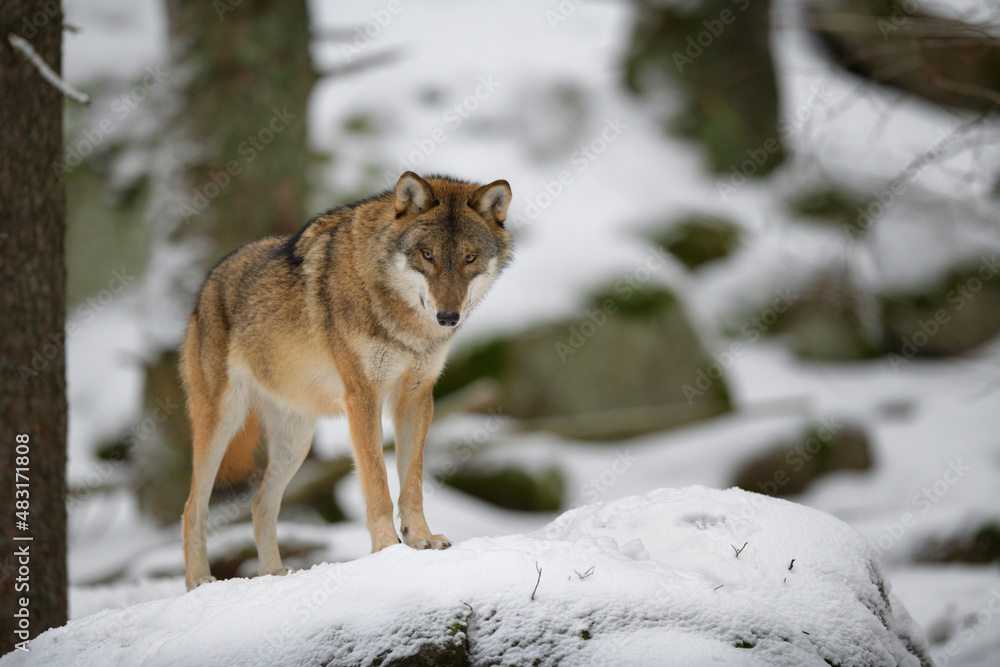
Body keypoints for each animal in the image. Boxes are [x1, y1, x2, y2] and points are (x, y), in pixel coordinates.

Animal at [181, 172, 512, 590]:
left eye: (469, 258)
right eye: (428, 255)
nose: (448, 317)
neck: (404, 322)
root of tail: (207, 284)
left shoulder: (416, 397)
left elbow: (413, 483)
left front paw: (421, 539)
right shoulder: (362, 397)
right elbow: (377, 482)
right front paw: (387, 549)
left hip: (296, 443)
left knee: (260, 505)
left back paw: (274, 574)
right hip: (220, 424)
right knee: (193, 507)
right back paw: (200, 582)